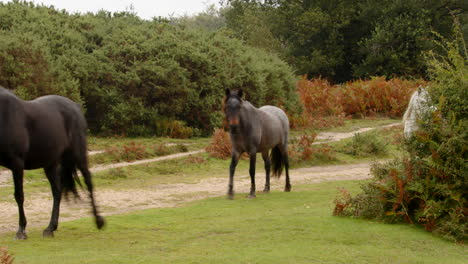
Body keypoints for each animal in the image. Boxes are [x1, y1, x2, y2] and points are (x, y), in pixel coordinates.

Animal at [0, 86, 104, 239]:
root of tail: (75, 107)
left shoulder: (17, 164)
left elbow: (19, 195)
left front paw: (21, 231)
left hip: (78, 154)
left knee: (88, 181)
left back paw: (98, 221)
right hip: (50, 164)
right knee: (57, 191)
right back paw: (50, 228)